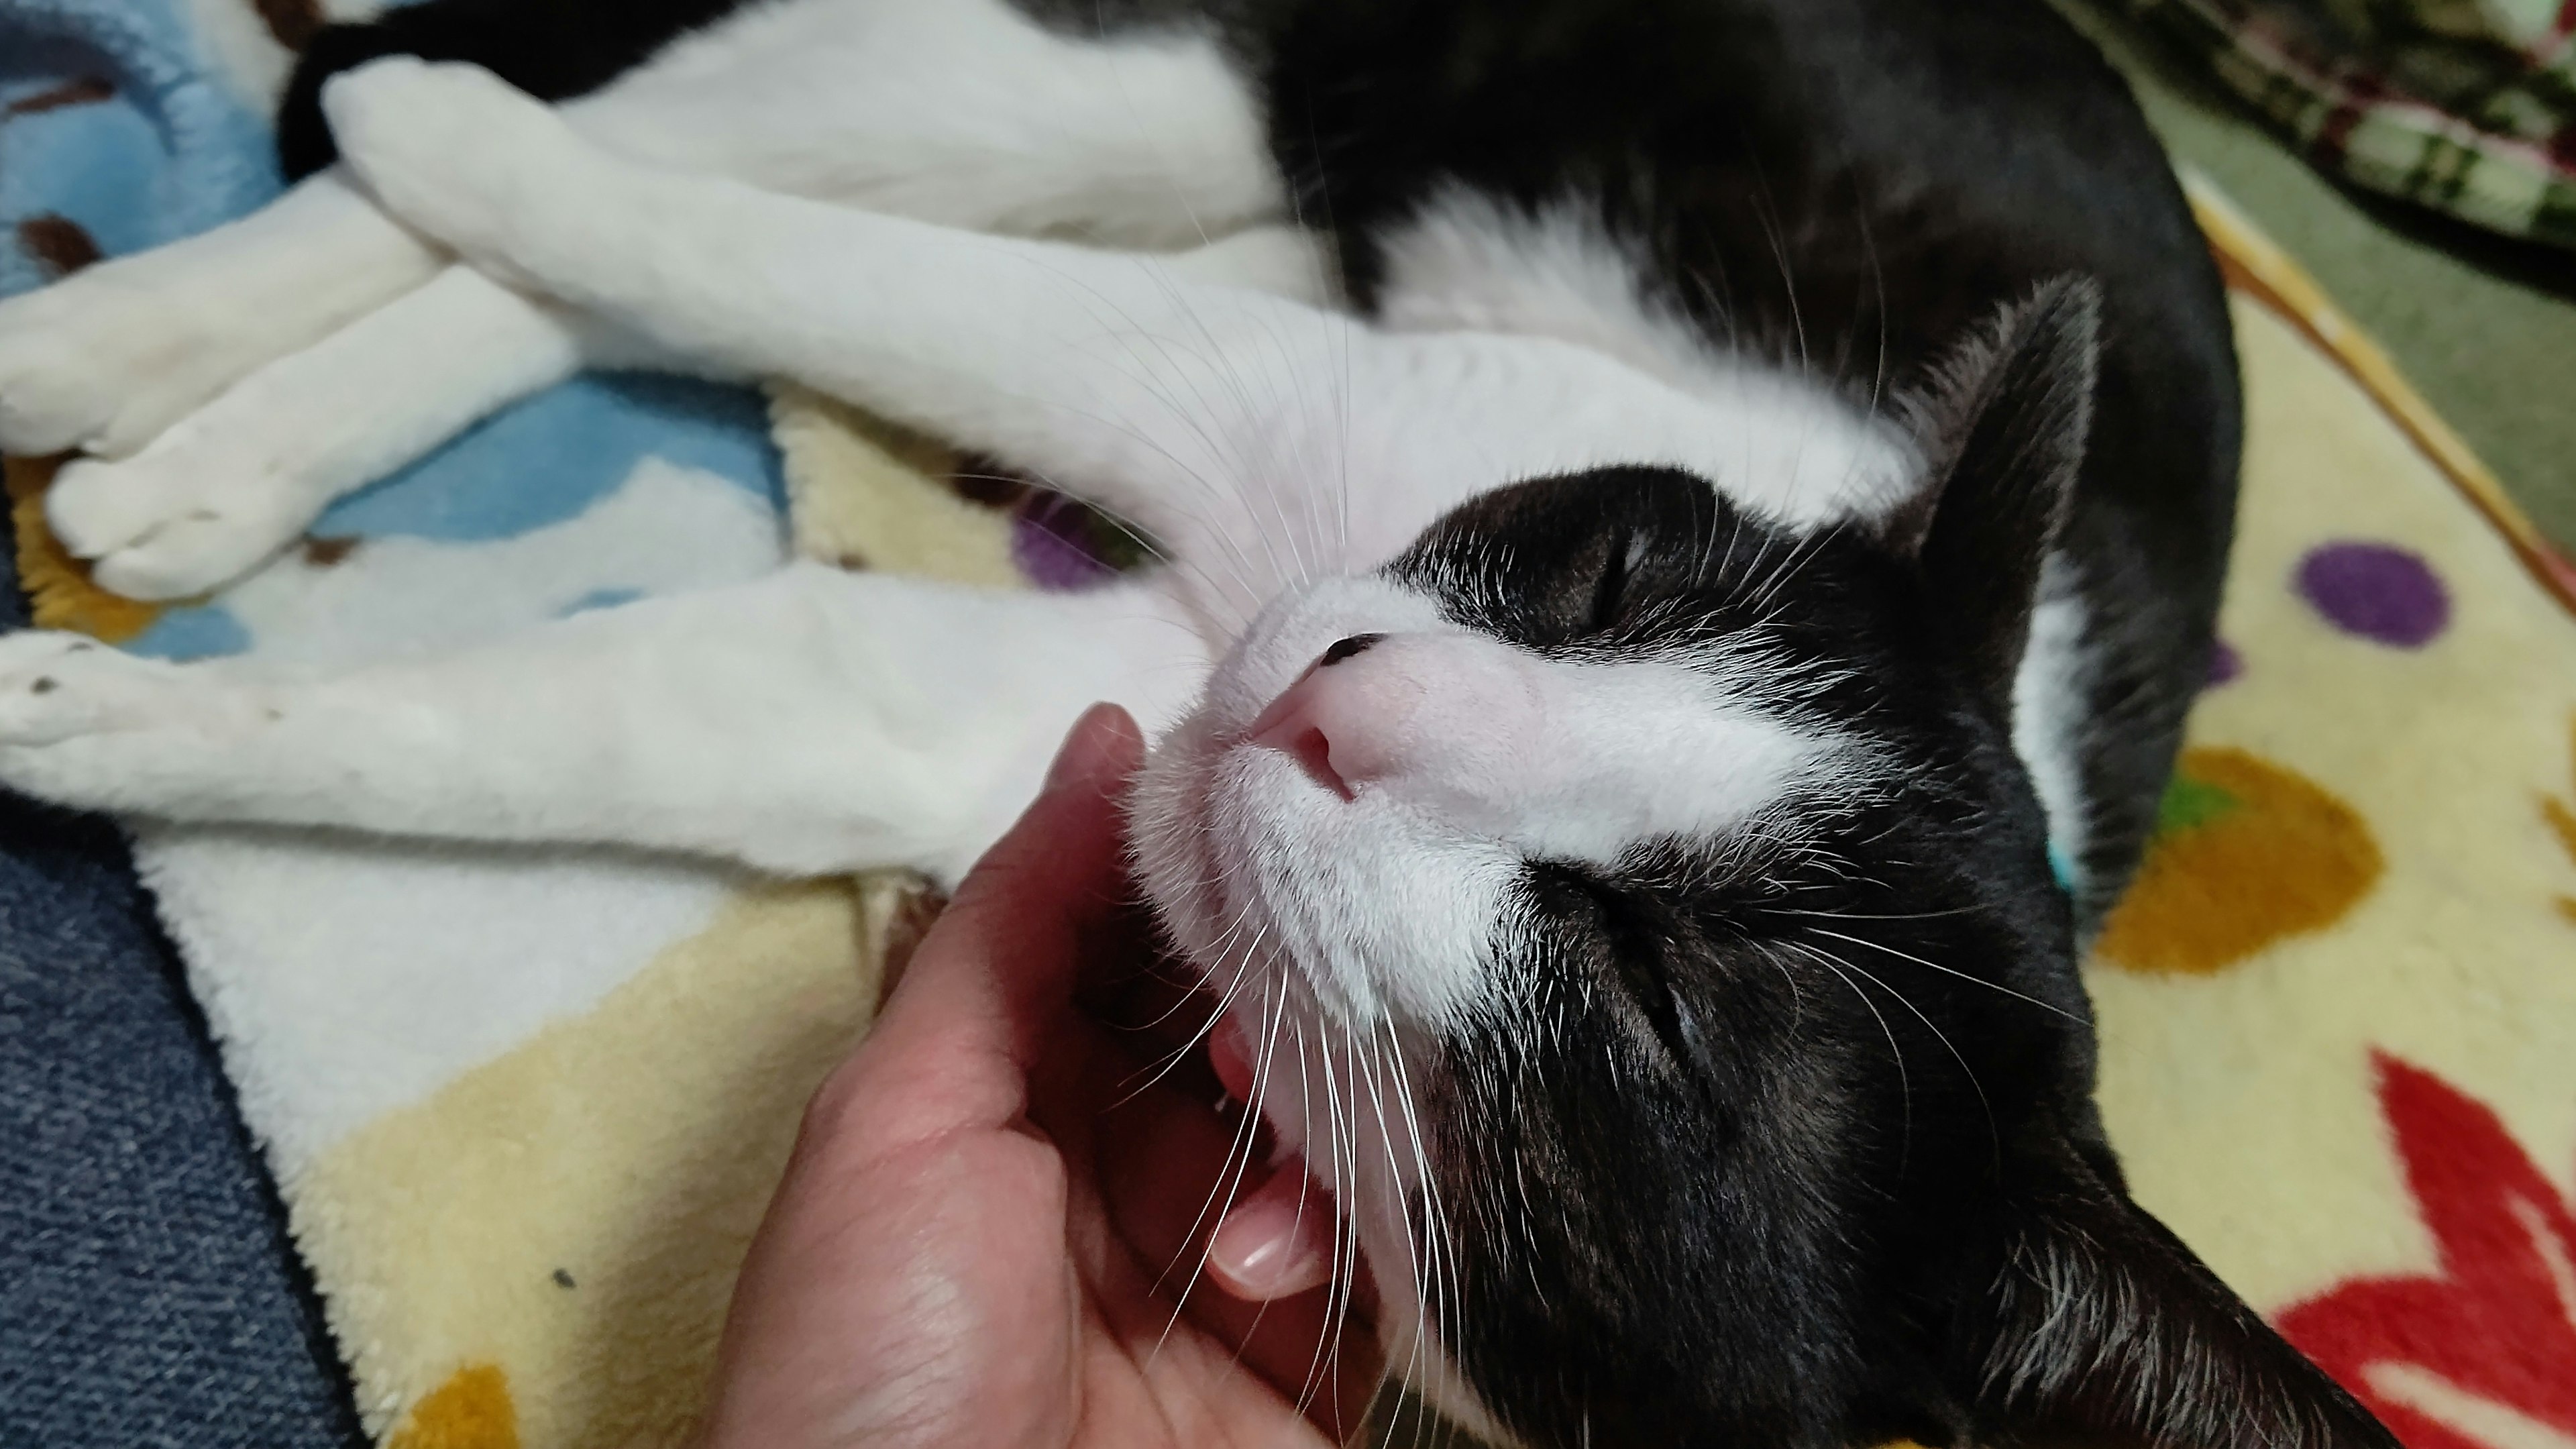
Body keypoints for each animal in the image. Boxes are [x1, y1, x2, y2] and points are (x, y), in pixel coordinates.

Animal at [0, 0, 2390, 1433]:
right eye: (1615, 580)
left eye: (1648, 1004)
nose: (1346, 701)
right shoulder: (1289, 389)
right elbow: (766, 264)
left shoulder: (977, 704)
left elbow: (620, 707)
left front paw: (95, 717)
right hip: (1194, 106)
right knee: (759, 159)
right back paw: (182, 304)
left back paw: (206, 448)